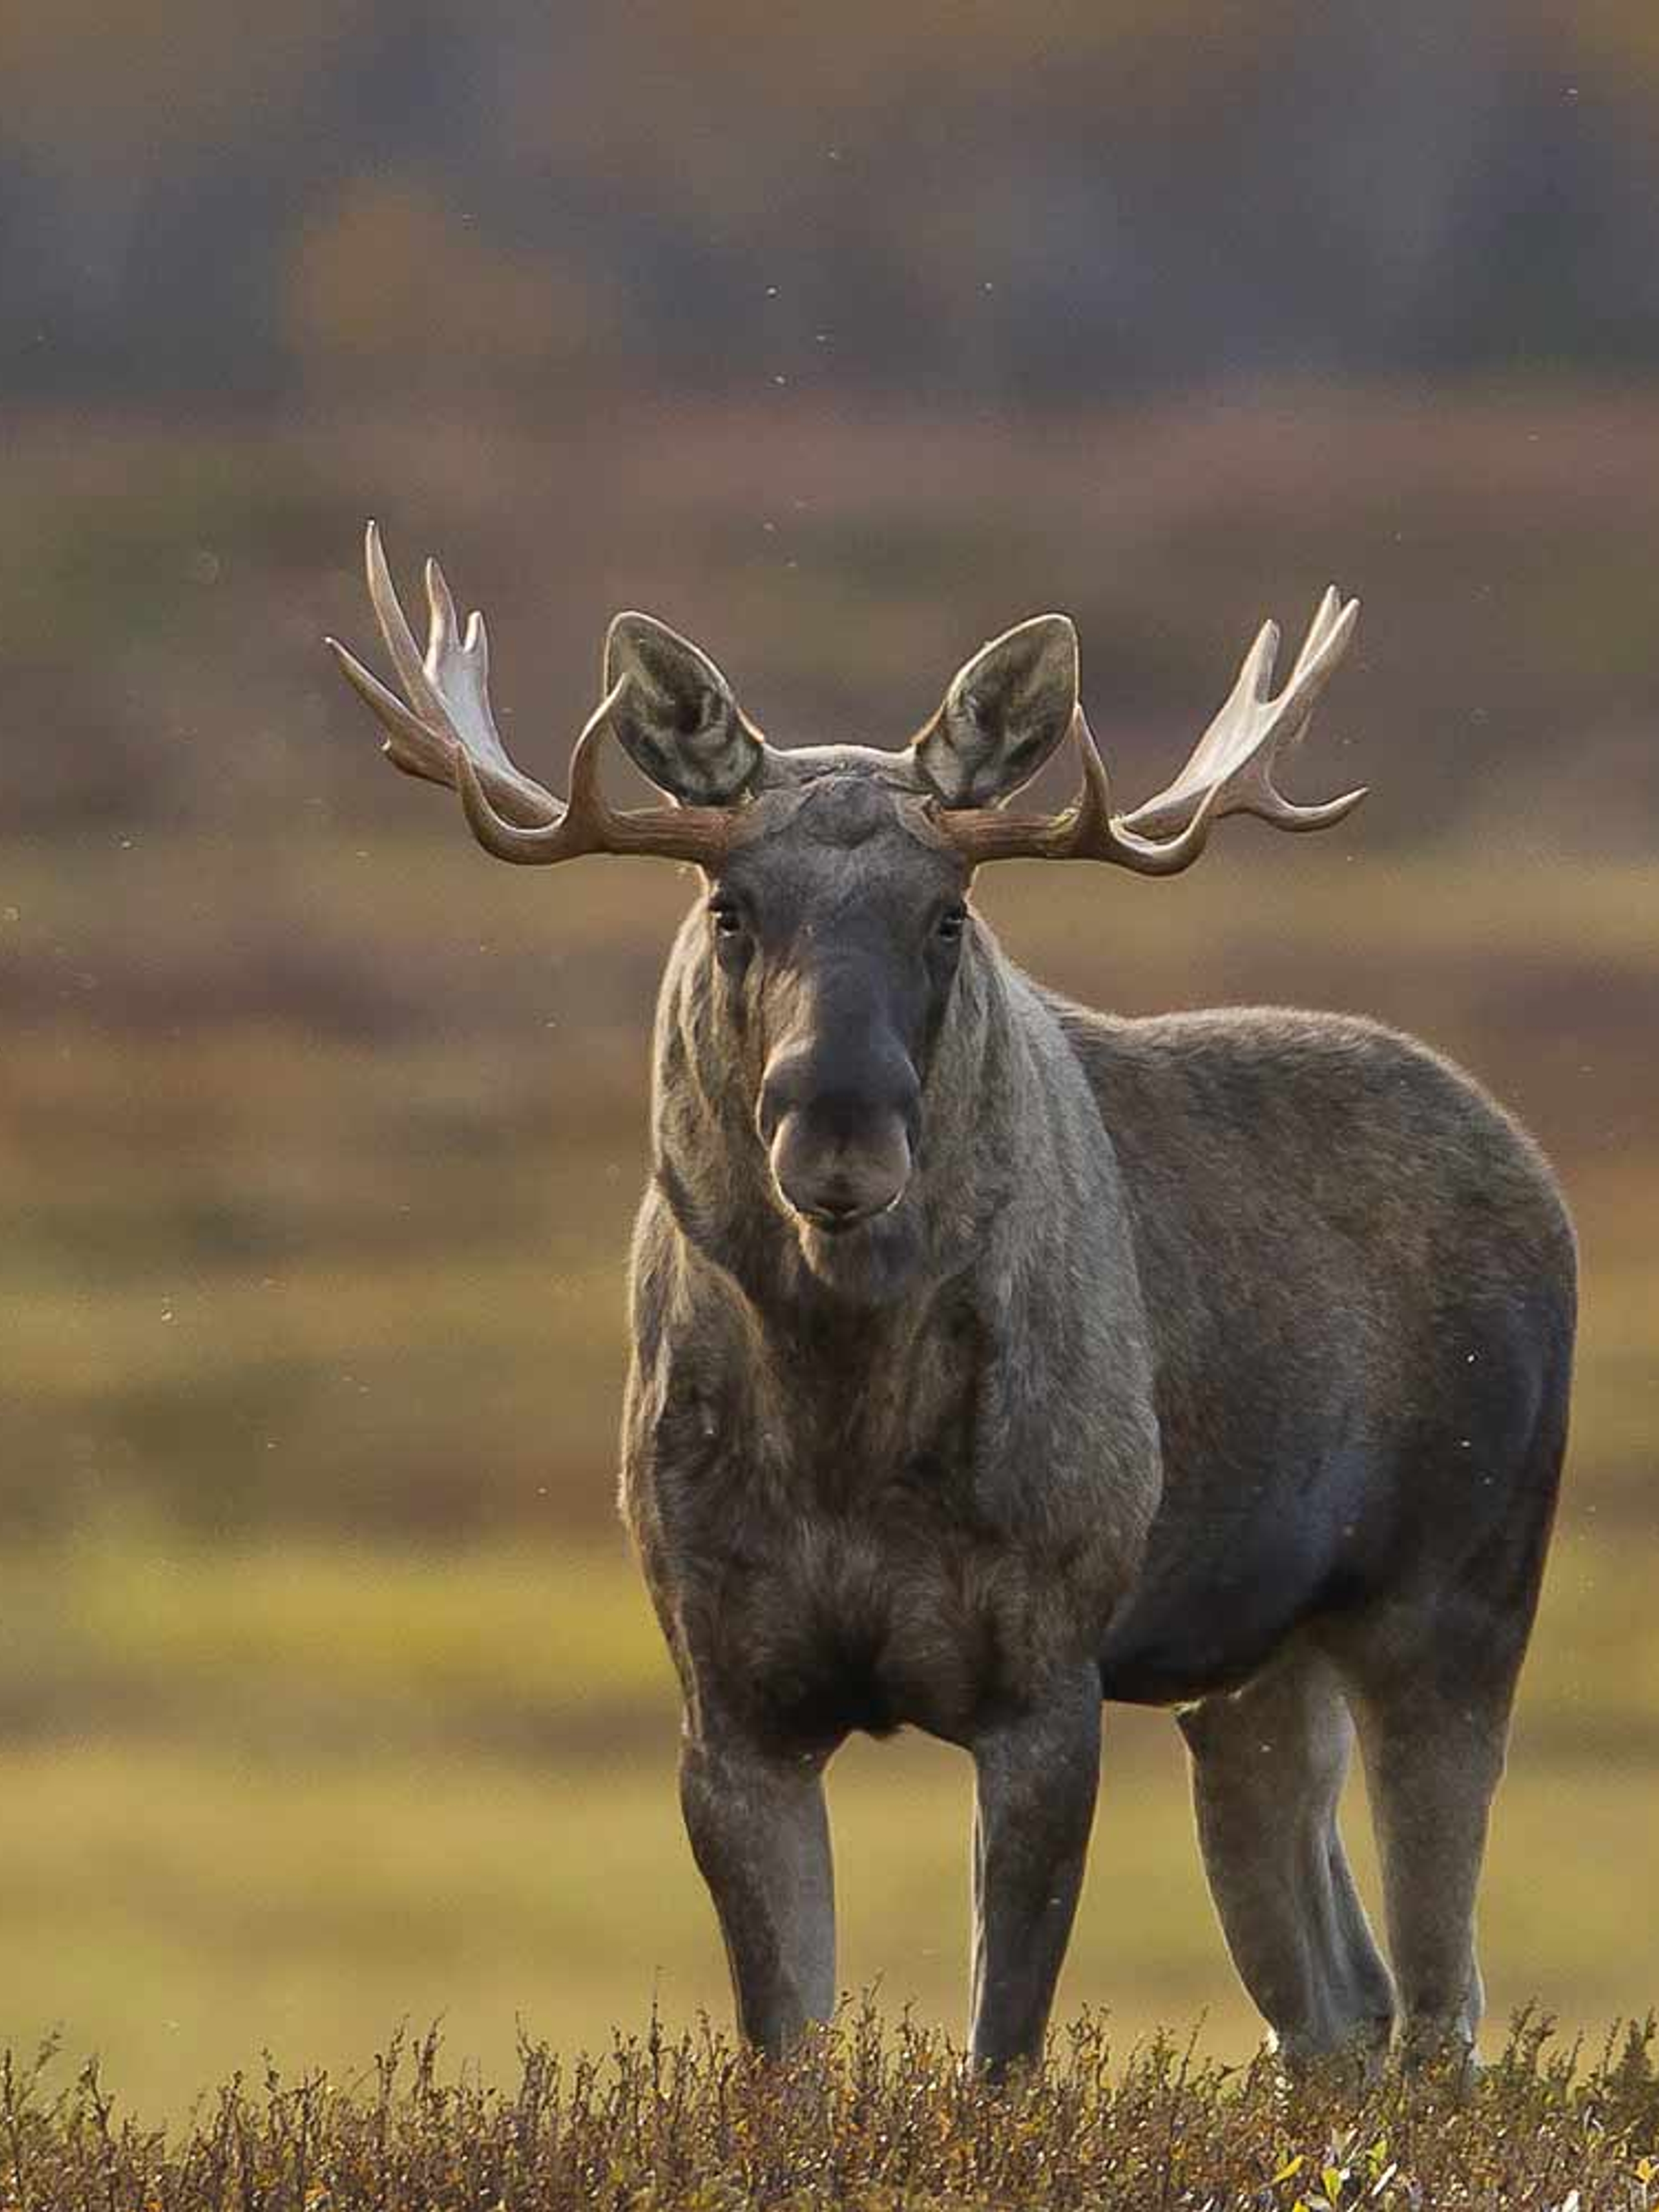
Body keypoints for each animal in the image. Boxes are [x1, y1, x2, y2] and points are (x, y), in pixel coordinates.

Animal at [330, 524, 1575, 2079]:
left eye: (948, 913)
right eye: (730, 910)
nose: (840, 1131)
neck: (839, 1424)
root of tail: (1538, 1175)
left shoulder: (1044, 1681)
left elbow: (1003, 2059)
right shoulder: (729, 1701)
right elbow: (787, 2061)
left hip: (1456, 1600)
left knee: (1439, 2008)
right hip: (1254, 1670)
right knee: (1333, 2004)